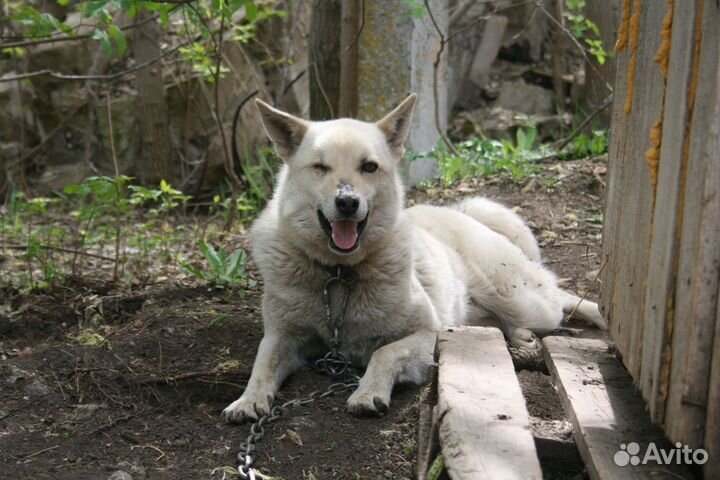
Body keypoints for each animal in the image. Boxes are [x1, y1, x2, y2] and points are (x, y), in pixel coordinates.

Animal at [222, 95, 604, 422]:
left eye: (369, 167)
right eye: (320, 167)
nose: (347, 202)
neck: (339, 274)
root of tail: (461, 211)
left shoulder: (429, 332)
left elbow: (384, 352)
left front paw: (368, 393)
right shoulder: (281, 336)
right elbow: (262, 365)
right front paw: (247, 400)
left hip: (521, 300)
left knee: (559, 296)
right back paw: (522, 337)